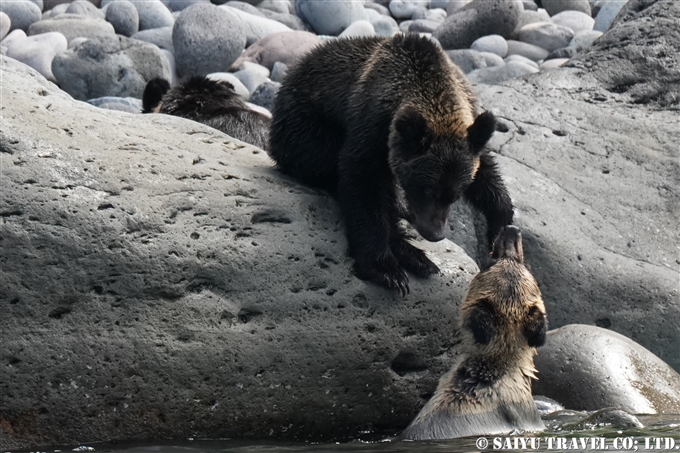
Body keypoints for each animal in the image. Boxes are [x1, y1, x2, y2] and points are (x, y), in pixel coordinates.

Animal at [268, 36, 512, 296]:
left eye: (455, 195)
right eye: (424, 189)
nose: (434, 233)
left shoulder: (469, 131)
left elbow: (487, 174)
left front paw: (499, 229)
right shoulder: (372, 127)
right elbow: (361, 185)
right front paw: (385, 270)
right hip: (307, 129)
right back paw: (414, 255)